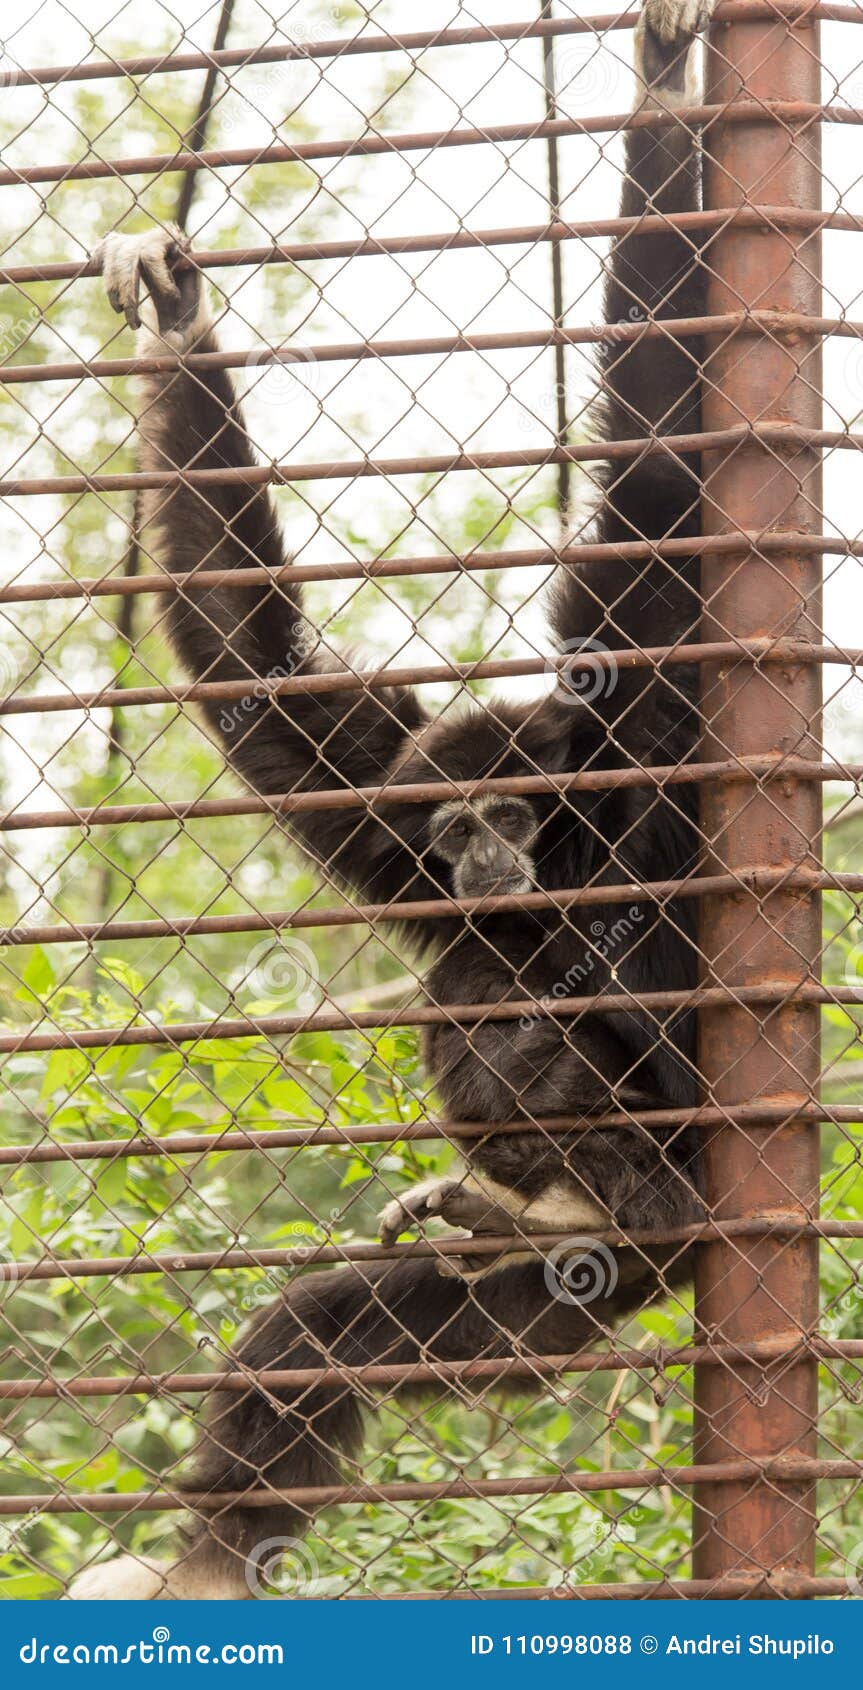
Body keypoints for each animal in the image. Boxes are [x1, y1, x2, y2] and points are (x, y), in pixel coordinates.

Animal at [68, 0, 713, 1598]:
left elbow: (656, 482)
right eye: (450, 829)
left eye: (509, 816)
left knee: (564, 1031)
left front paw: (664, 85)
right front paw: (179, 319)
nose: (479, 859)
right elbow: (256, 670)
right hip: (528, 1308)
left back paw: (587, 1186)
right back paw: (211, 1558)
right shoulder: (382, 804)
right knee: (333, 1326)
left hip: (664, 1223)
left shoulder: (641, 727)